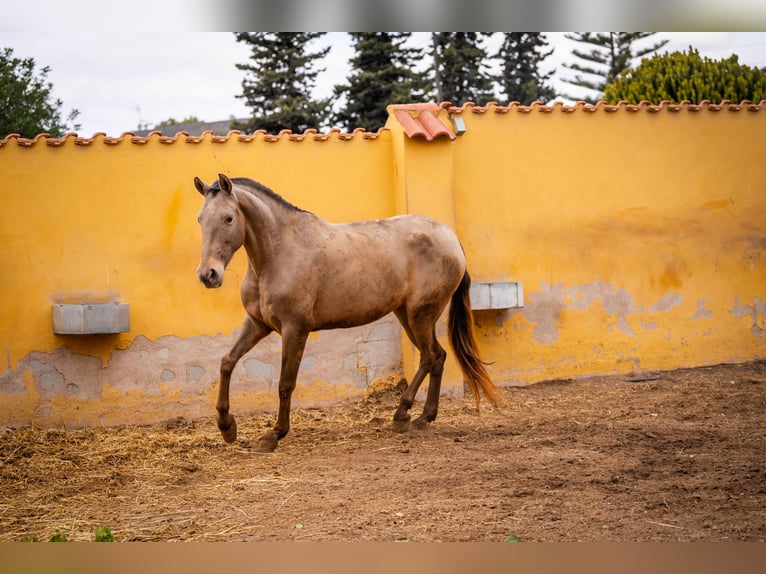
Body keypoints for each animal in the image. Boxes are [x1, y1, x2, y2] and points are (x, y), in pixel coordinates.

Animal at [193, 173, 503, 452]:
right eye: (200, 219)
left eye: (228, 218)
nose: (208, 275)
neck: (279, 255)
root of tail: (450, 237)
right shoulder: (257, 323)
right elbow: (227, 362)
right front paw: (227, 427)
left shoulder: (295, 328)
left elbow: (285, 383)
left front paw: (274, 435)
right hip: (407, 315)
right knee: (436, 357)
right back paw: (418, 417)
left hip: (421, 315)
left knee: (430, 357)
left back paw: (406, 415)